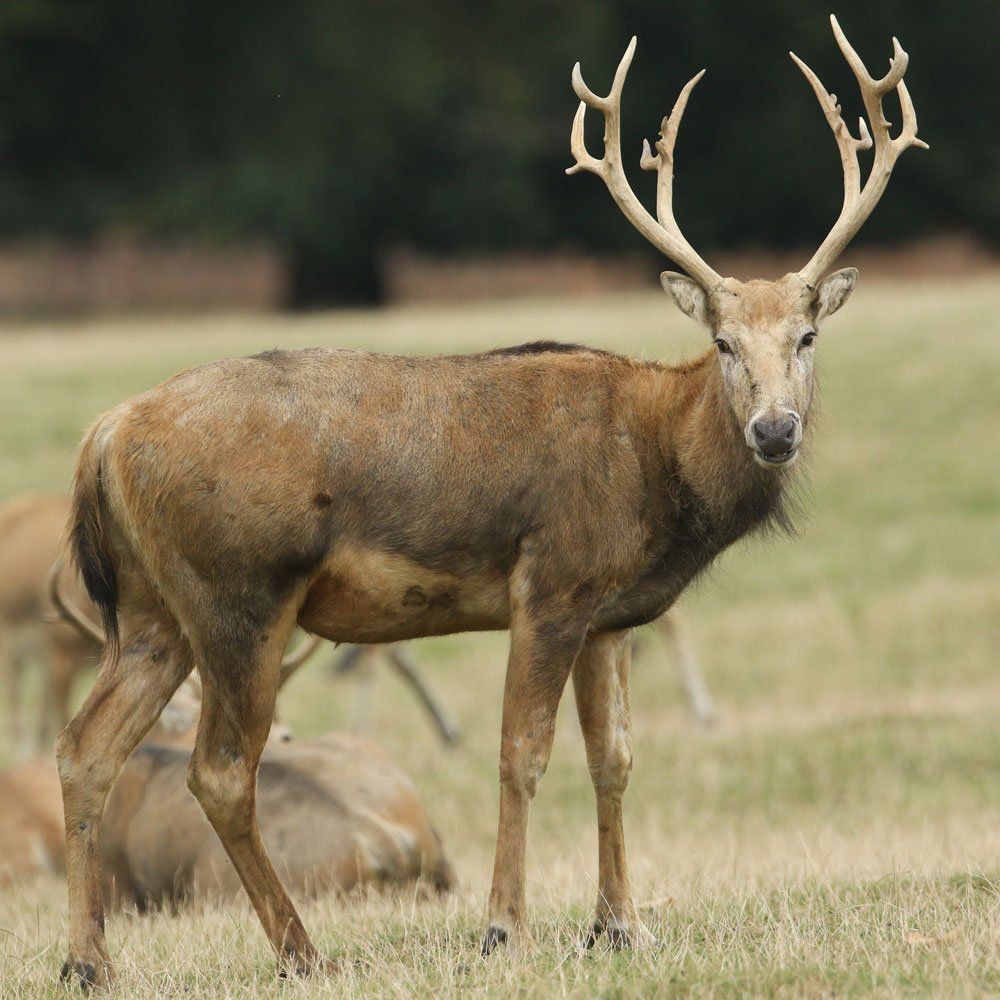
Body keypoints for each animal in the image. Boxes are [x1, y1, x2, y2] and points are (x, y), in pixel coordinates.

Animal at [53, 16, 924, 987]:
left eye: (806, 336)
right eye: (726, 342)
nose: (775, 430)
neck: (656, 469)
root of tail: (105, 434)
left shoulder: (610, 614)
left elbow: (615, 757)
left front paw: (619, 926)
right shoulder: (552, 581)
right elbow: (522, 754)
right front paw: (505, 928)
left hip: (152, 609)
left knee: (87, 747)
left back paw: (89, 962)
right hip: (239, 592)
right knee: (219, 770)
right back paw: (301, 952)